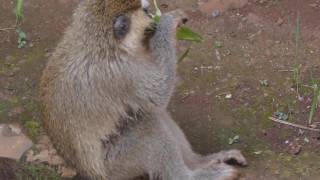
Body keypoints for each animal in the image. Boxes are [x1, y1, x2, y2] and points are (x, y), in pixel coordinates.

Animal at [39, 0, 248, 180]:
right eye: (146, 12)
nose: (151, 15)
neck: (103, 43)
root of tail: (90, 173)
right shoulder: (123, 72)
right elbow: (158, 94)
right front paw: (166, 24)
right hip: (116, 165)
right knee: (148, 124)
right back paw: (188, 176)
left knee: (148, 113)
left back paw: (199, 162)